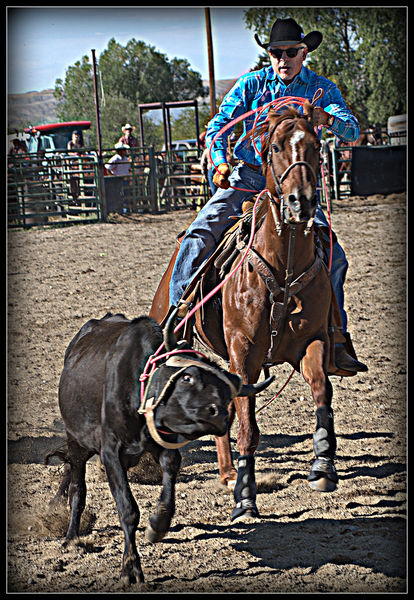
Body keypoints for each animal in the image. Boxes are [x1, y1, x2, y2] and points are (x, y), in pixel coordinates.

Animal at [150, 102, 342, 520]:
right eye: (275, 148)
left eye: (316, 146)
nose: (300, 201)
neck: (283, 269)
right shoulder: (244, 354)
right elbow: (248, 430)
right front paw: (245, 496)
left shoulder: (312, 341)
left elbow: (322, 389)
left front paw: (323, 465)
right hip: (179, 337)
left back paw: (225, 474)